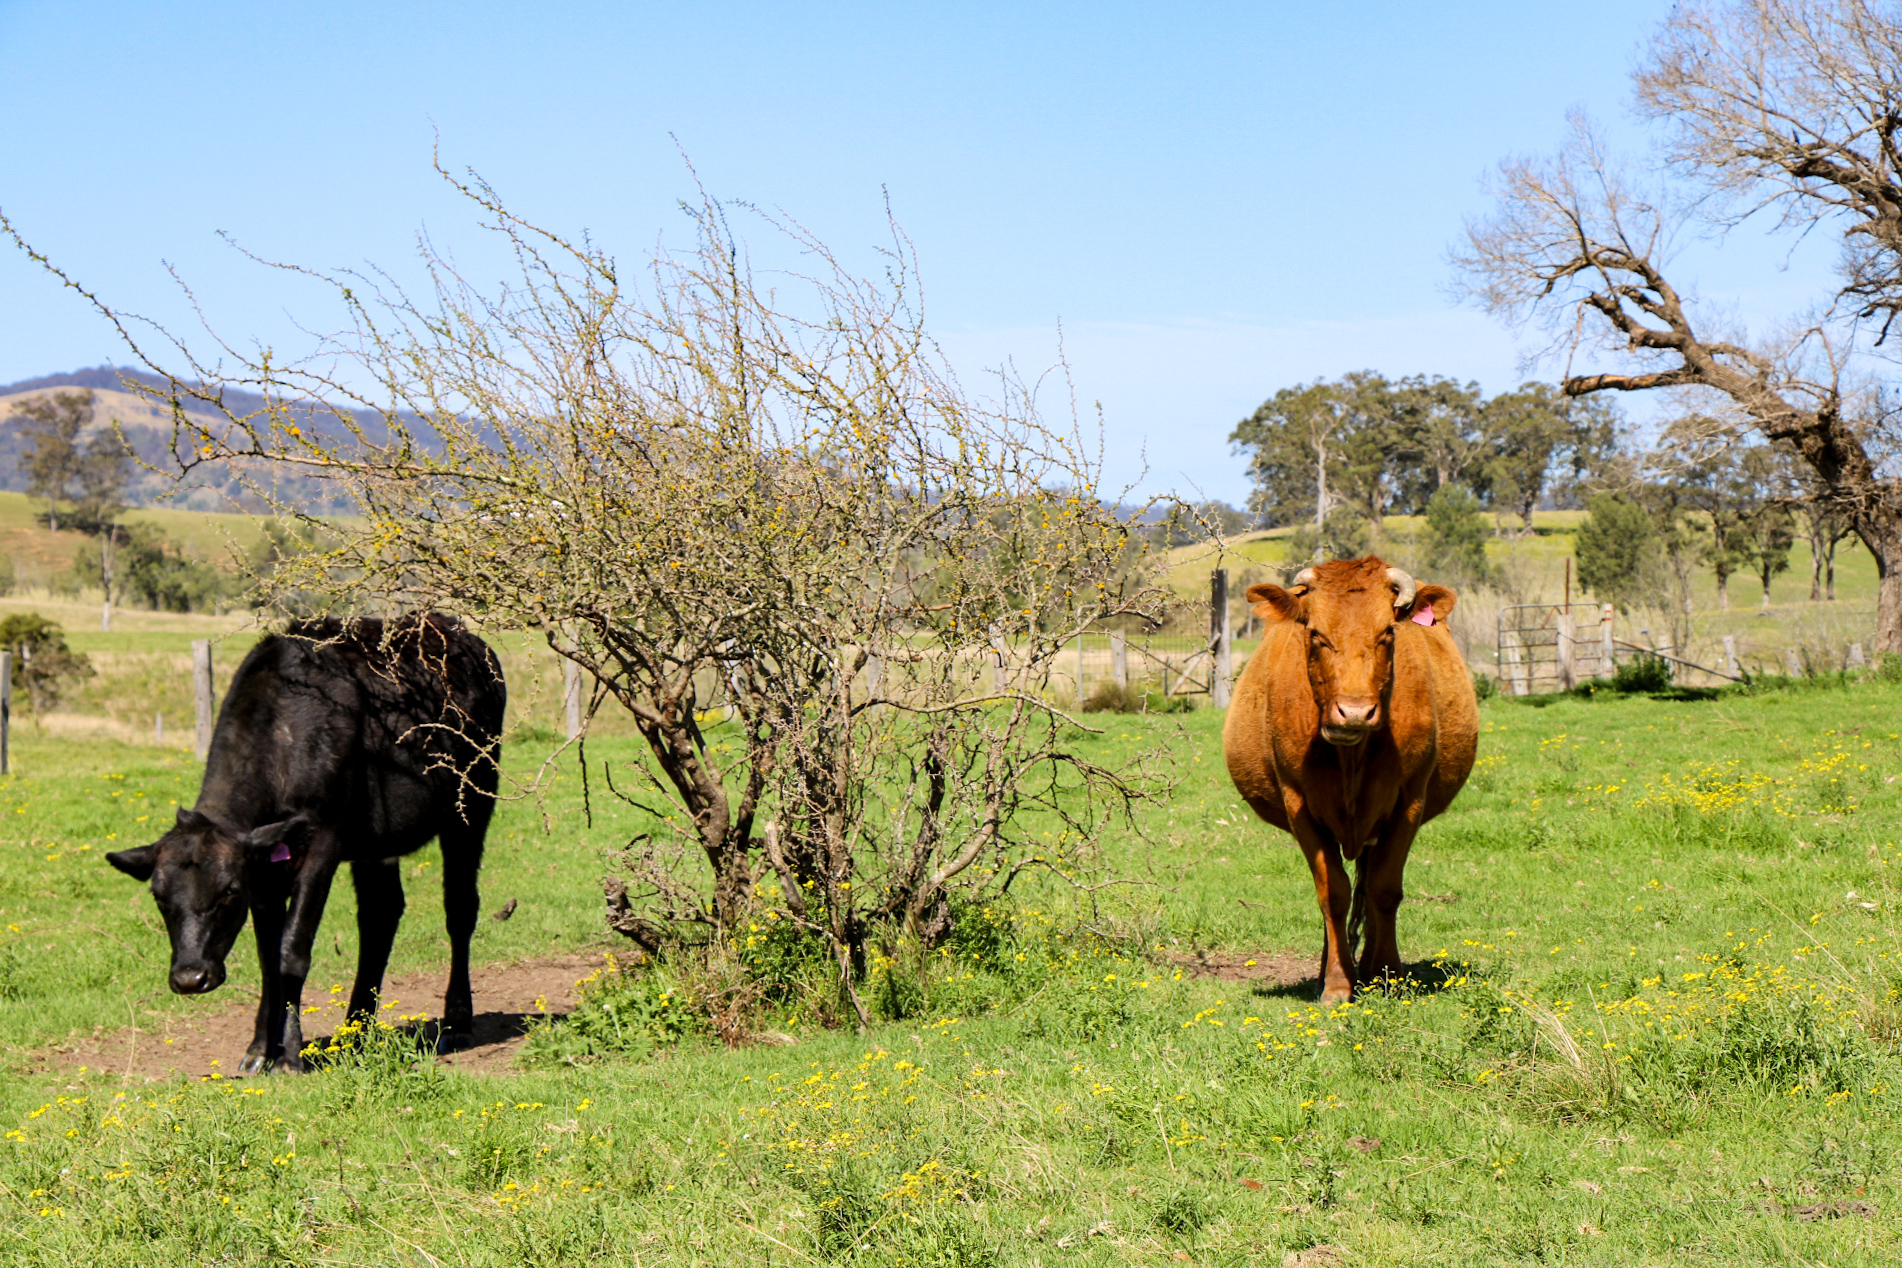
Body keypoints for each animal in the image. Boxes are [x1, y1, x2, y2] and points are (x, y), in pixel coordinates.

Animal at [106, 615, 505, 1072]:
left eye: (228, 892)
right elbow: (267, 959)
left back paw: (457, 1019)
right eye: (158, 896)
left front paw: (291, 1053)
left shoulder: (322, 847)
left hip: (472, 803)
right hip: (377, 842)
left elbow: (291, 952)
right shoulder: (262, 871)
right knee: (380, 915)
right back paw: (355, 1029)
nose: (190, 977)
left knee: (460, 907)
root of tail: (464, 637)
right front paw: (260, 1049)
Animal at [1224, 555, 1475, 1003]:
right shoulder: (1299, 806)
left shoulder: (1408, 802)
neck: (1350, 757)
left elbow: (1384, 889)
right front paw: (1338, 982)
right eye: (1315, 633)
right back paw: (1329, 969)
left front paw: (1386, 971)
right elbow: (1333, 893)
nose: (1354, 712)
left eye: (1387, 633)